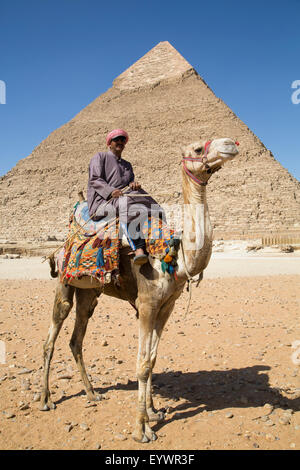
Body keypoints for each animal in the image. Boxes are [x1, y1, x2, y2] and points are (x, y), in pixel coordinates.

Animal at [40, 138, 239, 442]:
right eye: (196, 149)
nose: (231, 144)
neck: (176, 258)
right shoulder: (146, 304)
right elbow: (142, 364)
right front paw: (141, 429)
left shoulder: (166, 306)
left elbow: (153, 359)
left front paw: (154, 412)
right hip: (64, 282)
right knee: (51, 337)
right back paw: (46, 399)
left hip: (89, 292)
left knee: (76, 338)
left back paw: (92, 393)